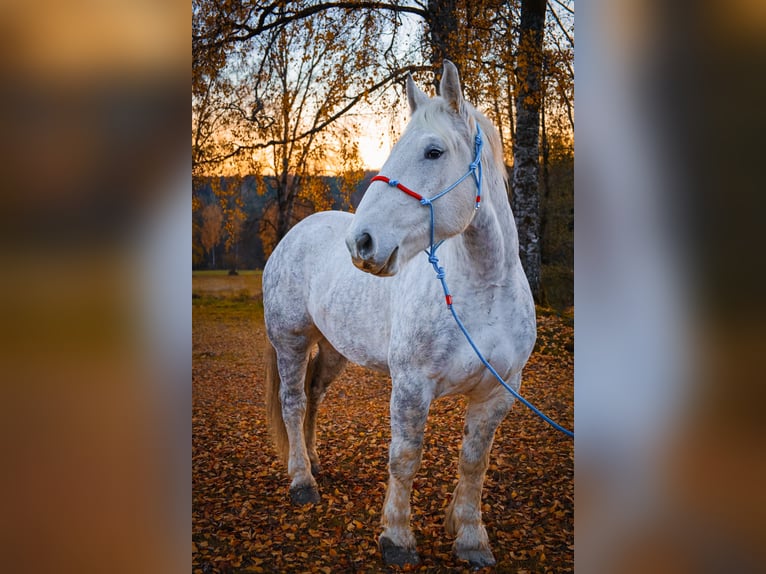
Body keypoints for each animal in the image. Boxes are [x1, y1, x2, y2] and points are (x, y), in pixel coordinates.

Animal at [262, 60, 536, 568]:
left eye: (433, 151)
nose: (361, 243)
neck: (483, 290)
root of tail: (294, 234)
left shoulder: (497, 393)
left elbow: (475, 462)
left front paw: (470, 537)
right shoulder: (411, 386)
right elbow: (405, 458)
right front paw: (397, 537)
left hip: (334, 350)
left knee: (312, 393)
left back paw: (313, 461)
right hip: (290, 340)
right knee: (292, 402)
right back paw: (302, 480)